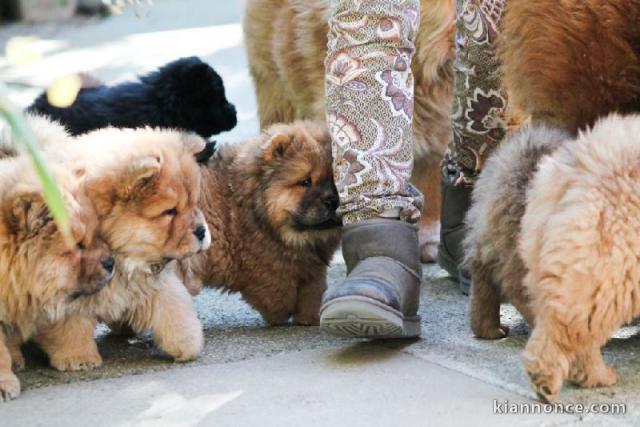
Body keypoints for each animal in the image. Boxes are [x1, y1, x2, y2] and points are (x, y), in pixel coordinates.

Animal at [25, 120, 210, 372]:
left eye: (194, 204)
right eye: (169, 211)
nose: (202, 231)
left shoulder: (153, 282)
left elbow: (174, 309)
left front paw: (187, 343)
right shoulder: (64, 290)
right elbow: (70, 327)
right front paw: (78, 357)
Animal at [180, 120, 342, 324]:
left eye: (335, 181)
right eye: (305, 182)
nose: (331, 201)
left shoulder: (312, 267)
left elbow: (312, 291)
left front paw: (310, 317)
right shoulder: (266, 264)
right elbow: (279, 293)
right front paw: (281, 314)